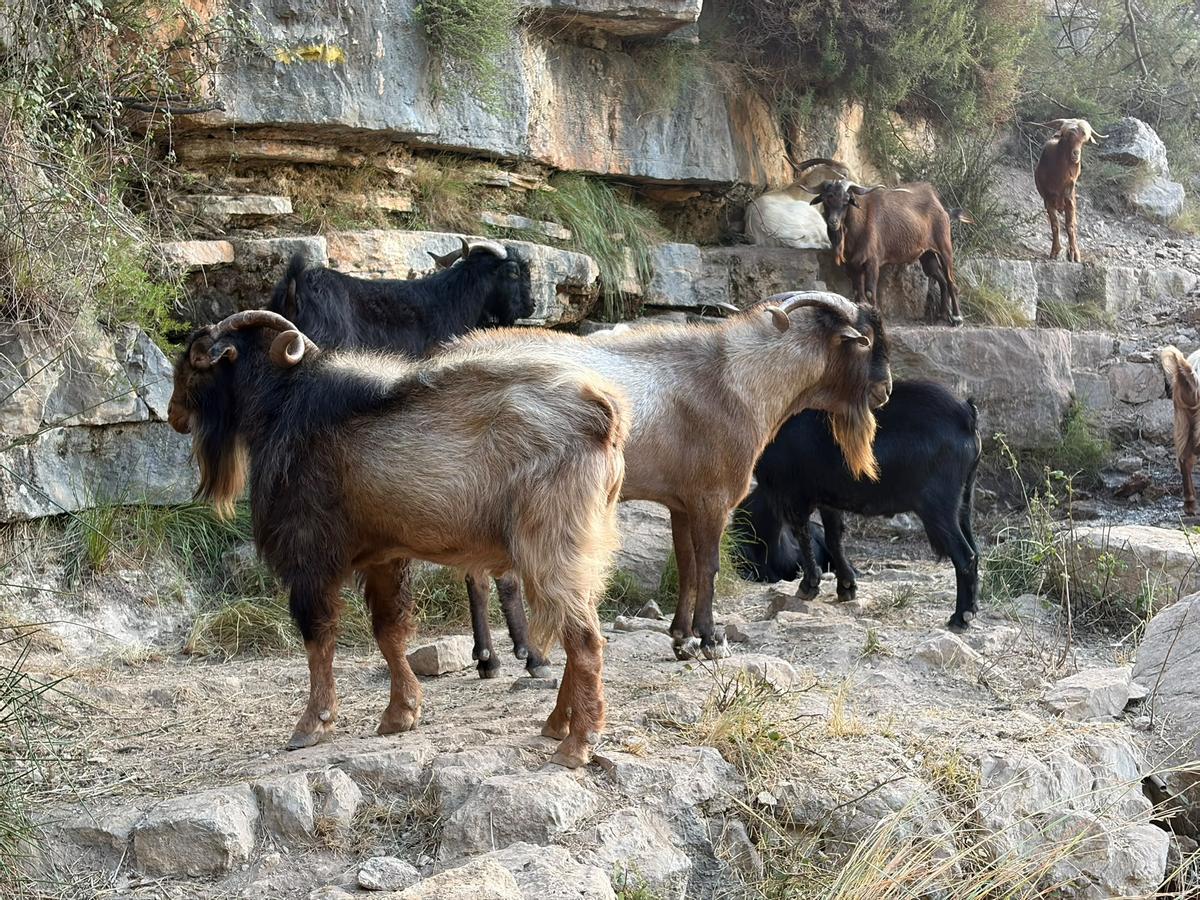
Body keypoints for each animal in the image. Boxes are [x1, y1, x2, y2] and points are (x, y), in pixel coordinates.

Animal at [167, 310, 627, 768]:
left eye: (195, 356)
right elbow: (388, 631)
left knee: (584, 639)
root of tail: (606, 415)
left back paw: (576, 744)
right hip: (583, 551)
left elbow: (318, 638)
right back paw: (557, 723)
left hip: (550, 546)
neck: (282, 404)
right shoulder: (383, 557)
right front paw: (400, 714)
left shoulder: (310, 555)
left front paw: (312, 724)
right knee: (580, 627)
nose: (173, 414)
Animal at [461, 291, 893, 660]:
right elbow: (709, 565)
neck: (736, 380)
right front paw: (710, 639)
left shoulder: (682, 502)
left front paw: (682, 638)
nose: (885, 390)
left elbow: (686, 565)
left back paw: (494, 658)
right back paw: (517, 656)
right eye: (866, 340)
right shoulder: (713, 498)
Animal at [734, 380, 981, 630]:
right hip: (963, 502)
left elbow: (803, 535)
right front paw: (846, 588)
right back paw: (970, 609)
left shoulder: (792, 495)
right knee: (975, 550)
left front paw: (808, 586)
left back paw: (960, 617)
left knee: (965, 556)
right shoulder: (827, 498)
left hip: (937, 506)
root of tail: (967, 414)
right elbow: (834, 539)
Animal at [808, 179, 971, 326]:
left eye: (846, 200)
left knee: (951, 281)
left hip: (944, 247)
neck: (858, 224)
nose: (833, 222)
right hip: (927, 255)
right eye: (826, 198)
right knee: (941, 280)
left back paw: (957, 319)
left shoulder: (872, 262)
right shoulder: (853, 265)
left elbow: (869, 292)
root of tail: (941, 206)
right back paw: (941, 317)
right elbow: (858, 294)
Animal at [1034, 119, 1105, 263]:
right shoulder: (1048, 199)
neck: (1058, 178)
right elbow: (1055, 225)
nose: (1075, 154)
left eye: (1084, 139)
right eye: (1067, 137)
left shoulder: (1069, 198)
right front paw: (1055, 252)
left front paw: (1074, 254)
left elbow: (1070, 226)